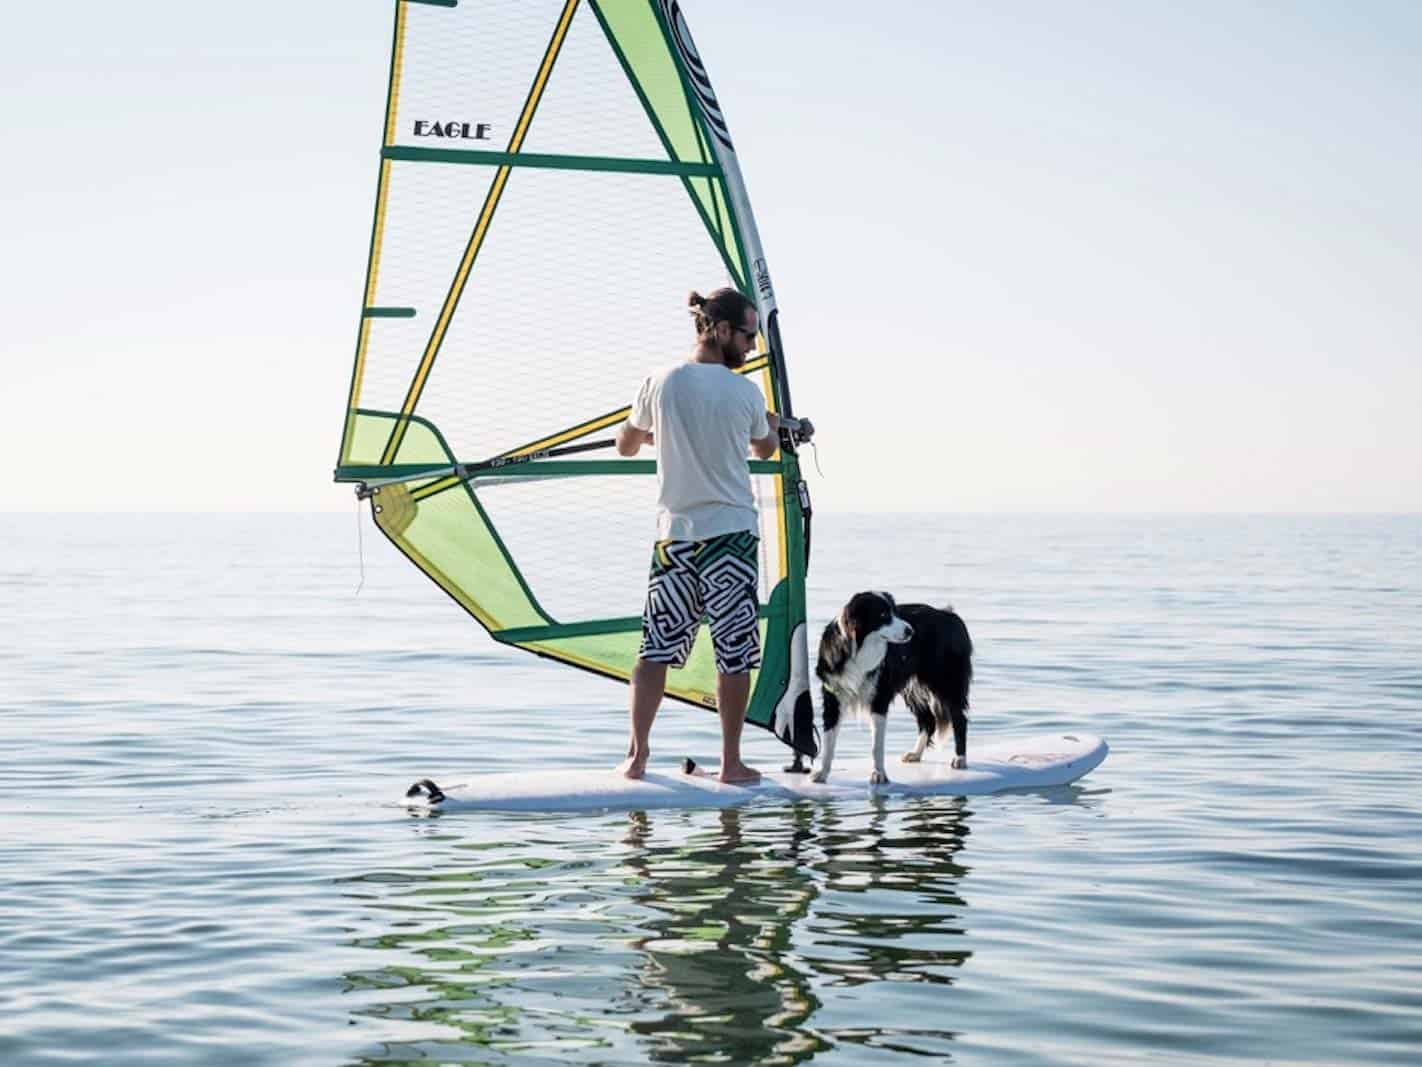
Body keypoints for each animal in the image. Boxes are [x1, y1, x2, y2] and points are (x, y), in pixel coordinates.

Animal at [819, 594, 972, 785]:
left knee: (959, 718)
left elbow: (876, 745)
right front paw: (821, 774)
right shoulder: (833, 696)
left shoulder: (879, 697)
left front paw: (878, 774)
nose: (911, 631)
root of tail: (950, 615)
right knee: (928, 719)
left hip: (946, 681)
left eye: (896, 612)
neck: (859, 649)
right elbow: (828, 739)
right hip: (913, 689)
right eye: (884, 615)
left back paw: (960, 759)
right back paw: (915, 753)